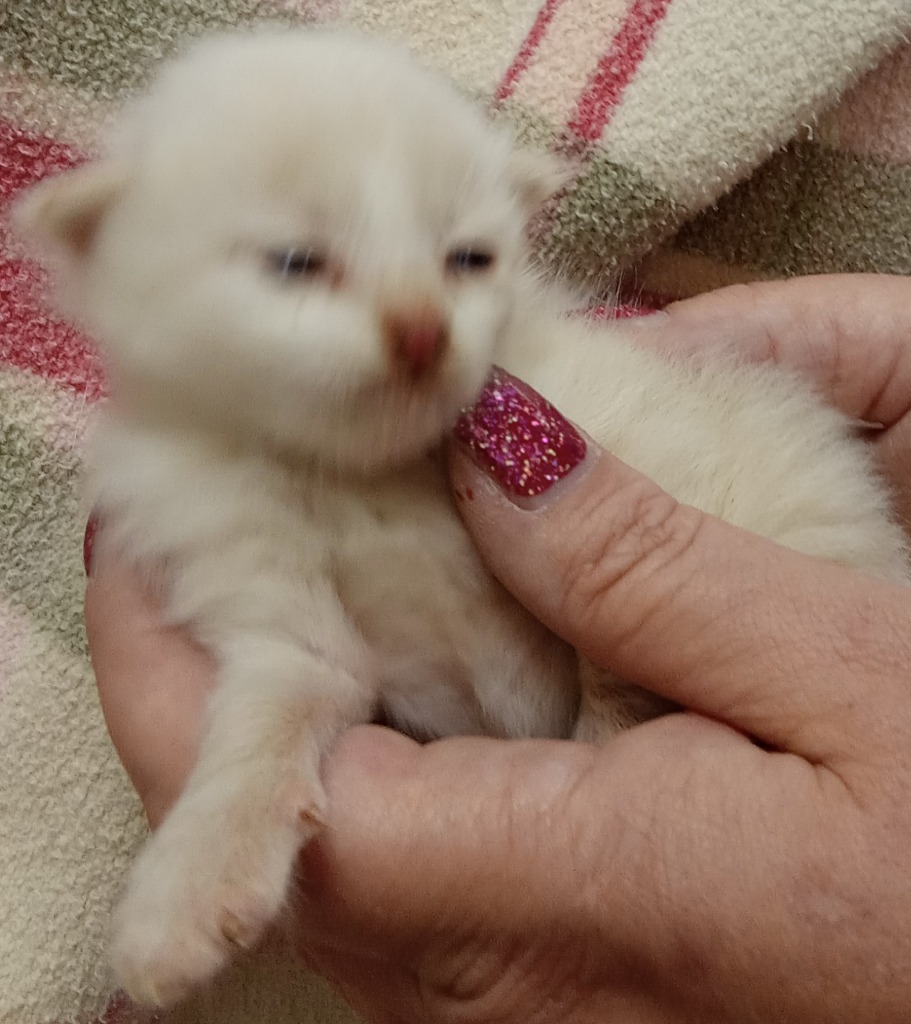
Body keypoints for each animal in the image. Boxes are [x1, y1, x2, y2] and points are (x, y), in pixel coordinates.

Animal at [14, 24, 908, 1007]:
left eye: (469, 258)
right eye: (294, 262)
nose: (422, 331)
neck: (370, 477)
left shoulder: (643, 439)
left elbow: (612, 680)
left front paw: (605, 746)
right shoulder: (262, 587)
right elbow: (272, 713)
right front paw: (186, 889)